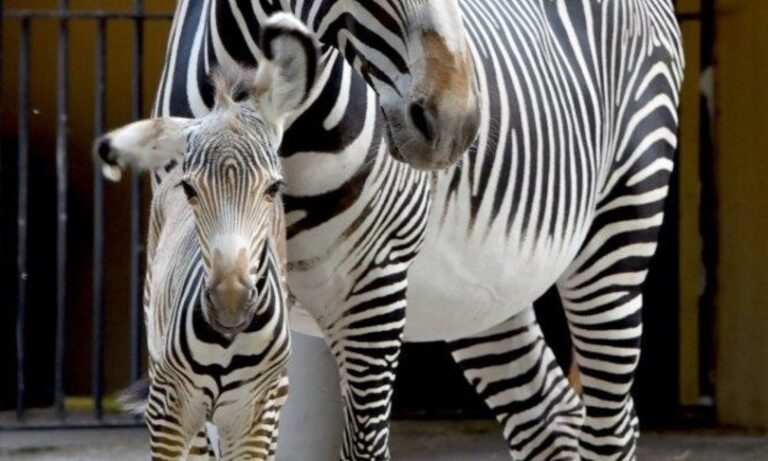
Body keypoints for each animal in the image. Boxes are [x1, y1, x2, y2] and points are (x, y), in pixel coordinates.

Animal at [126, 1, 684, 460]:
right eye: (188, 190)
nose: (459, 124)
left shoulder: (374, 288)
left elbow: (364, 447)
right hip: (479, 293)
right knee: (549, 418)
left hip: (620, 229)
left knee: (610, 426)